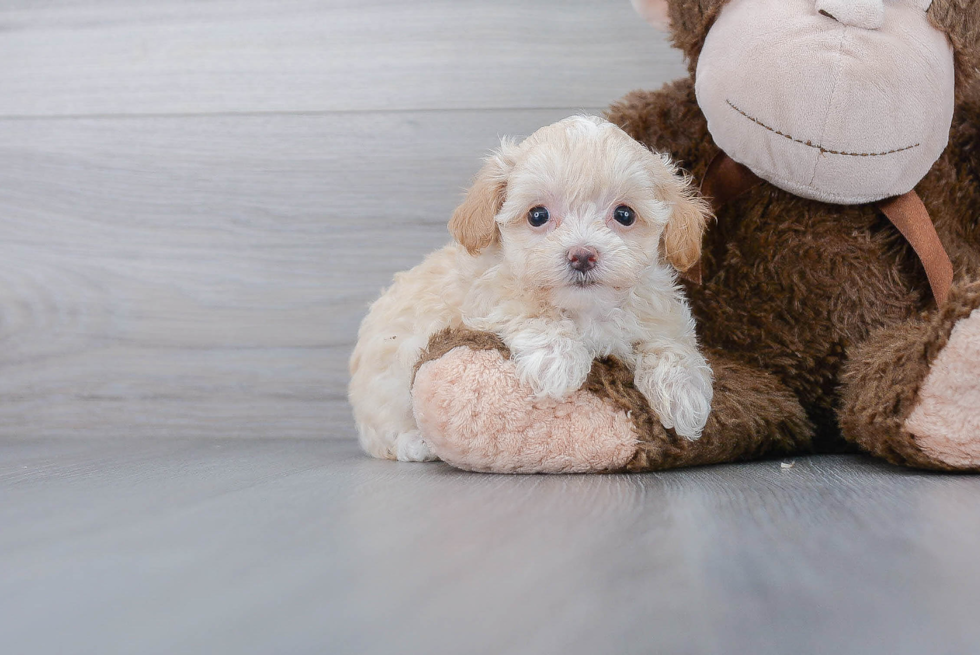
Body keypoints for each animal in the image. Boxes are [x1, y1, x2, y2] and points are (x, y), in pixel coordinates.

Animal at [350, 114, 712, 462]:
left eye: (624, 214)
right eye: (538, 215)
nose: (582, 255)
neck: (586, 308)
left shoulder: (660, 311)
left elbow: (670, 342)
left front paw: (685, 396)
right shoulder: (484, 296)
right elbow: (525, 307)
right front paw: (558, 364)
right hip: (384, 388)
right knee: (380, 434)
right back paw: (414, 444)